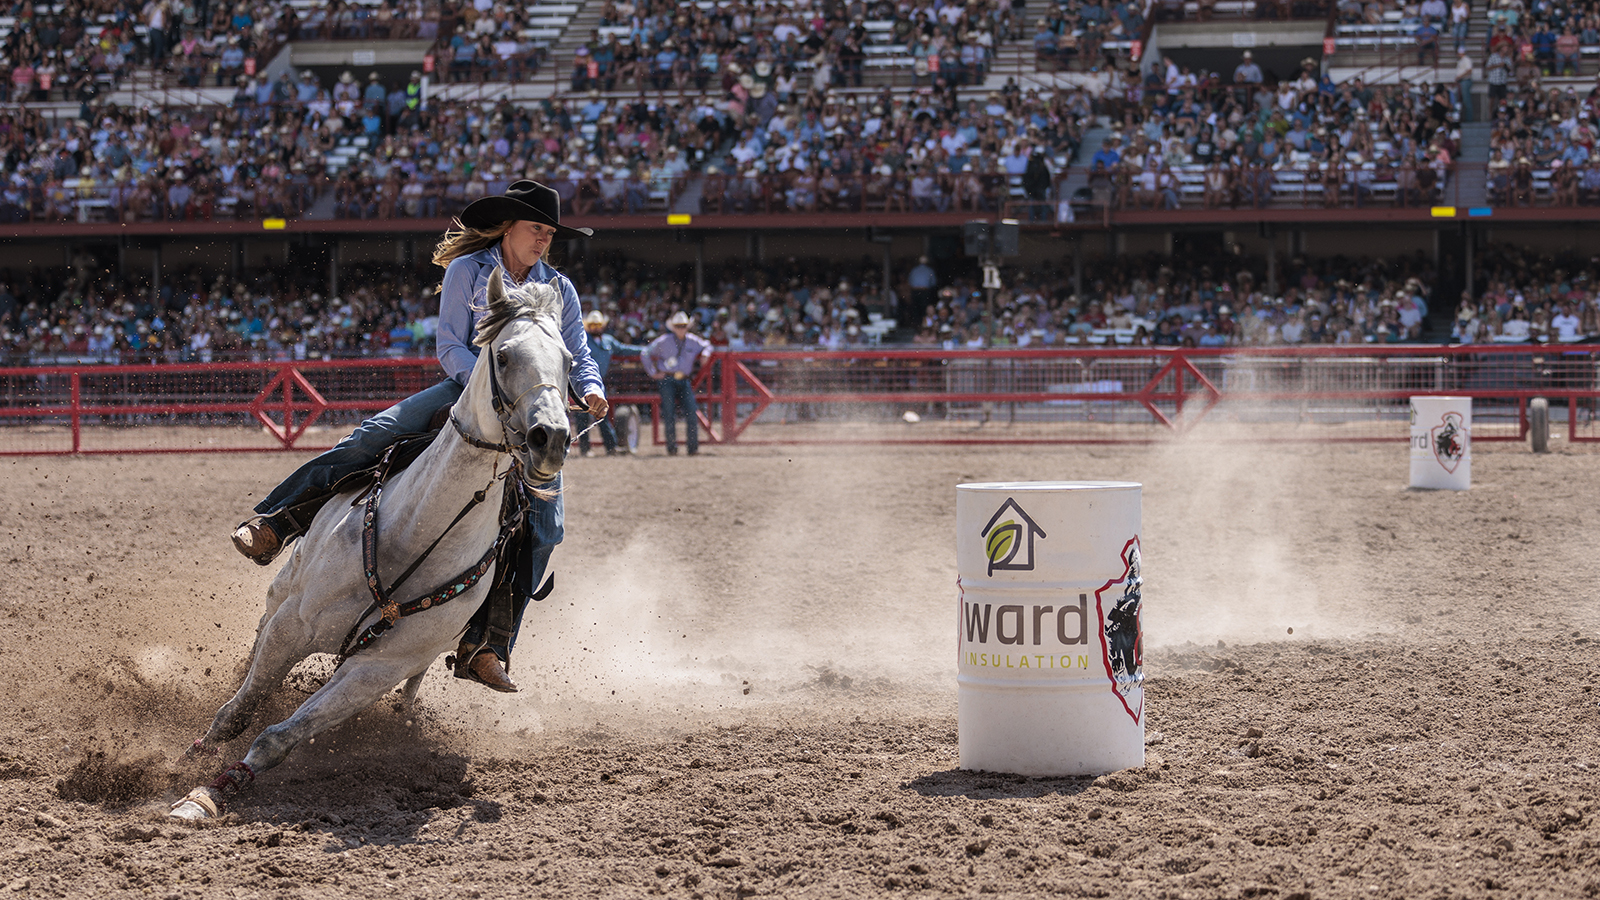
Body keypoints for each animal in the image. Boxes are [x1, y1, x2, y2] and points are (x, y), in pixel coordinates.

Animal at [172, 269, 572, 816]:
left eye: (569, 361)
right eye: (505, 355)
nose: (550, 437)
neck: (415, 534)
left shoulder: (378, 668)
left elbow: (278, 736)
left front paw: (211, 793)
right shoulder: (293, 624)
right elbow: (241, 707)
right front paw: (191, 761)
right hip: (283, 589)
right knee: (258, 635)